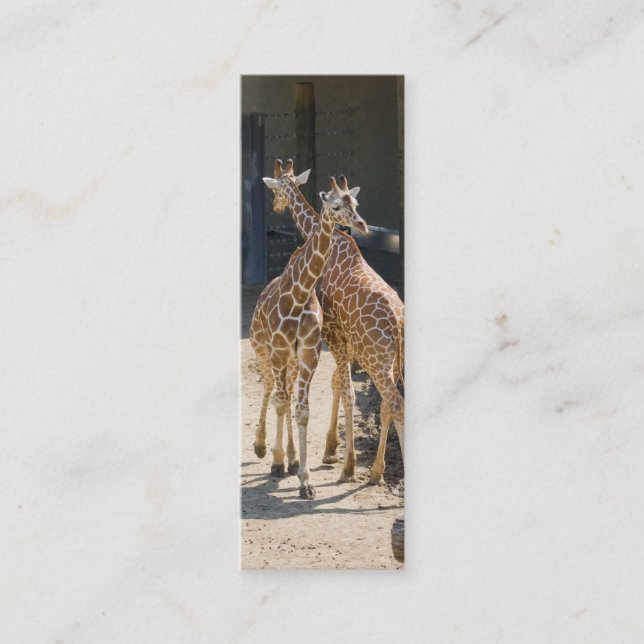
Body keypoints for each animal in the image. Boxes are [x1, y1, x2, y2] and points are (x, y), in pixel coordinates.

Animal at [249, 171, 368, 499]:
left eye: (355, 203)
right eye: (336, 206)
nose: (362, 224)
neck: (300, 293)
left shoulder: (308, 354)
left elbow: (302, 409)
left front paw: (305, 480)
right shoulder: (279, 351)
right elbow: (281, 402)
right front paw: (277, 461)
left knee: (293, 393)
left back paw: (297, 459)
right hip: (262, 350)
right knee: (273, 391)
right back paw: (265, 449)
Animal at [267, 160, 404, 485]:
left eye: (276, 189)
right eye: (345, 203)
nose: (276, 207)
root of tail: (397, 322)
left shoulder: (332, 331)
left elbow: (346, 390)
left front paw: (345, 463)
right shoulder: (343, 340)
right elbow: (338, 384)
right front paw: (332, 450)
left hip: (375, 359)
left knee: (395, 403)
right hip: (394, 362)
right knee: (387, 405)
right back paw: (378, 471)